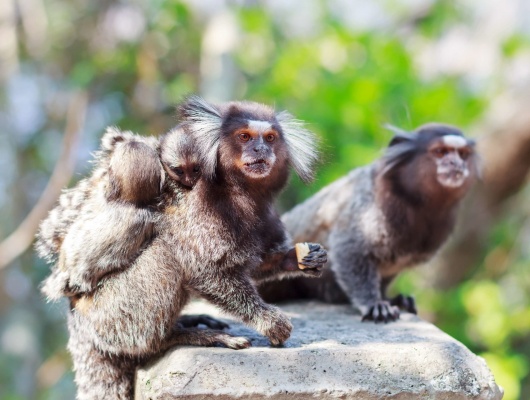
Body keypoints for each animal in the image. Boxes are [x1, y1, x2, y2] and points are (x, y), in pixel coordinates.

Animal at [260, 123, 478, 324]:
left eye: (463, 154)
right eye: (441, 152)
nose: (456, 163)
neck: (416, 204)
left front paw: (391, 298)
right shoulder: (369, 211)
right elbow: (350, 250)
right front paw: (374, 303)